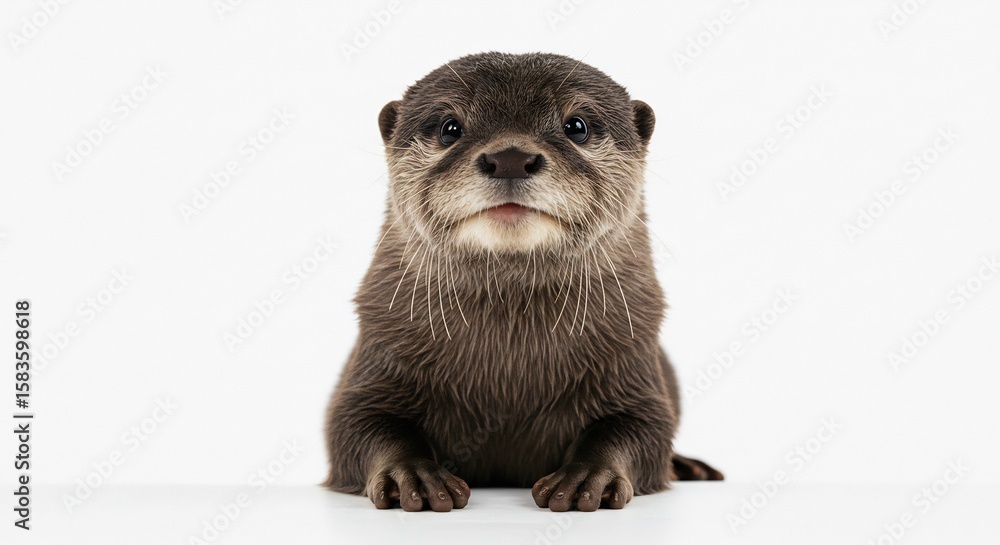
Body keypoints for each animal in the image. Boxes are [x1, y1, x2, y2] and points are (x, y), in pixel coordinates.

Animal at [325, 52, 722, 512]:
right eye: (449, 128)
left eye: (577, 126)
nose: (510, 157)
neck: (510, 372)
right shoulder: (378, 351)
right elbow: (355, 424)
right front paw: (415, 474)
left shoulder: (633, 358)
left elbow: (642, 426)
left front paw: (589, 476)